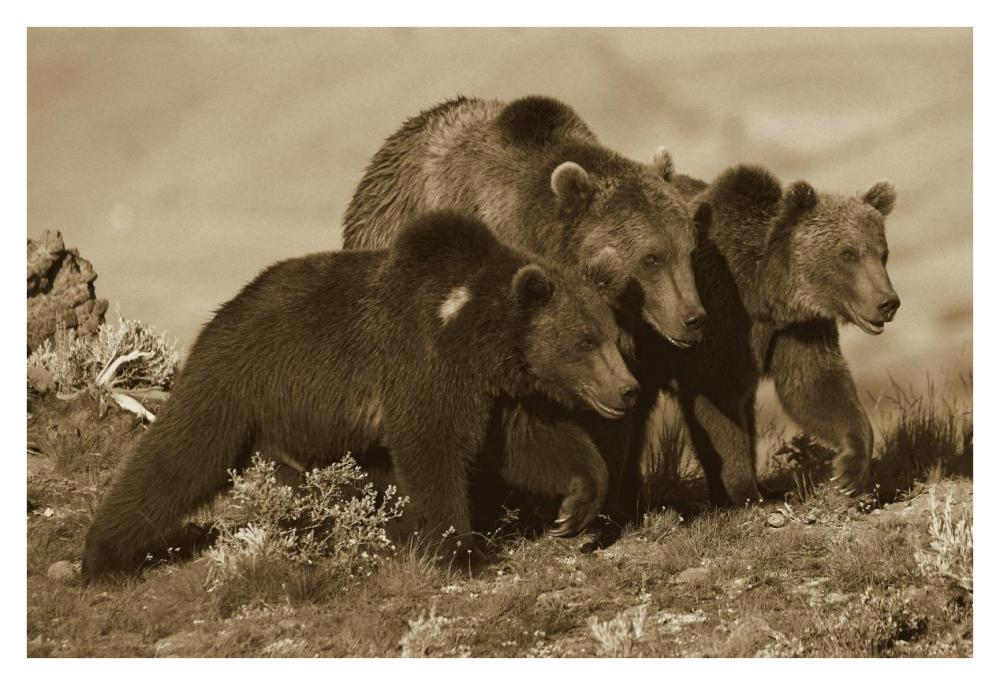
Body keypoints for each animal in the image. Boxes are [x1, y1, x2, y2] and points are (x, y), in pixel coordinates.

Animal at [82, 210, 637, 580]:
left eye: (614, 335)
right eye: (586, 340)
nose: (627, 389)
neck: (478, 337)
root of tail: (221, 312)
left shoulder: (499, 393)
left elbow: (533, 445)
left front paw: (575, 508)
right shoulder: (424, 364)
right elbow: (432, 450)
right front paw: (463, 552)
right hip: (240, 385)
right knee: (182, 455)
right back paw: (101, 555)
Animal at [632, 164, 900, 505]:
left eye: (883, 253)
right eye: (848, 253)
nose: (887, 302)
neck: (763, 294)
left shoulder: (797, 330)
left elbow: (814, 386)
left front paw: (849, 470)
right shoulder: (716, 318)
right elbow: (717, 405)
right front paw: (744, 494)